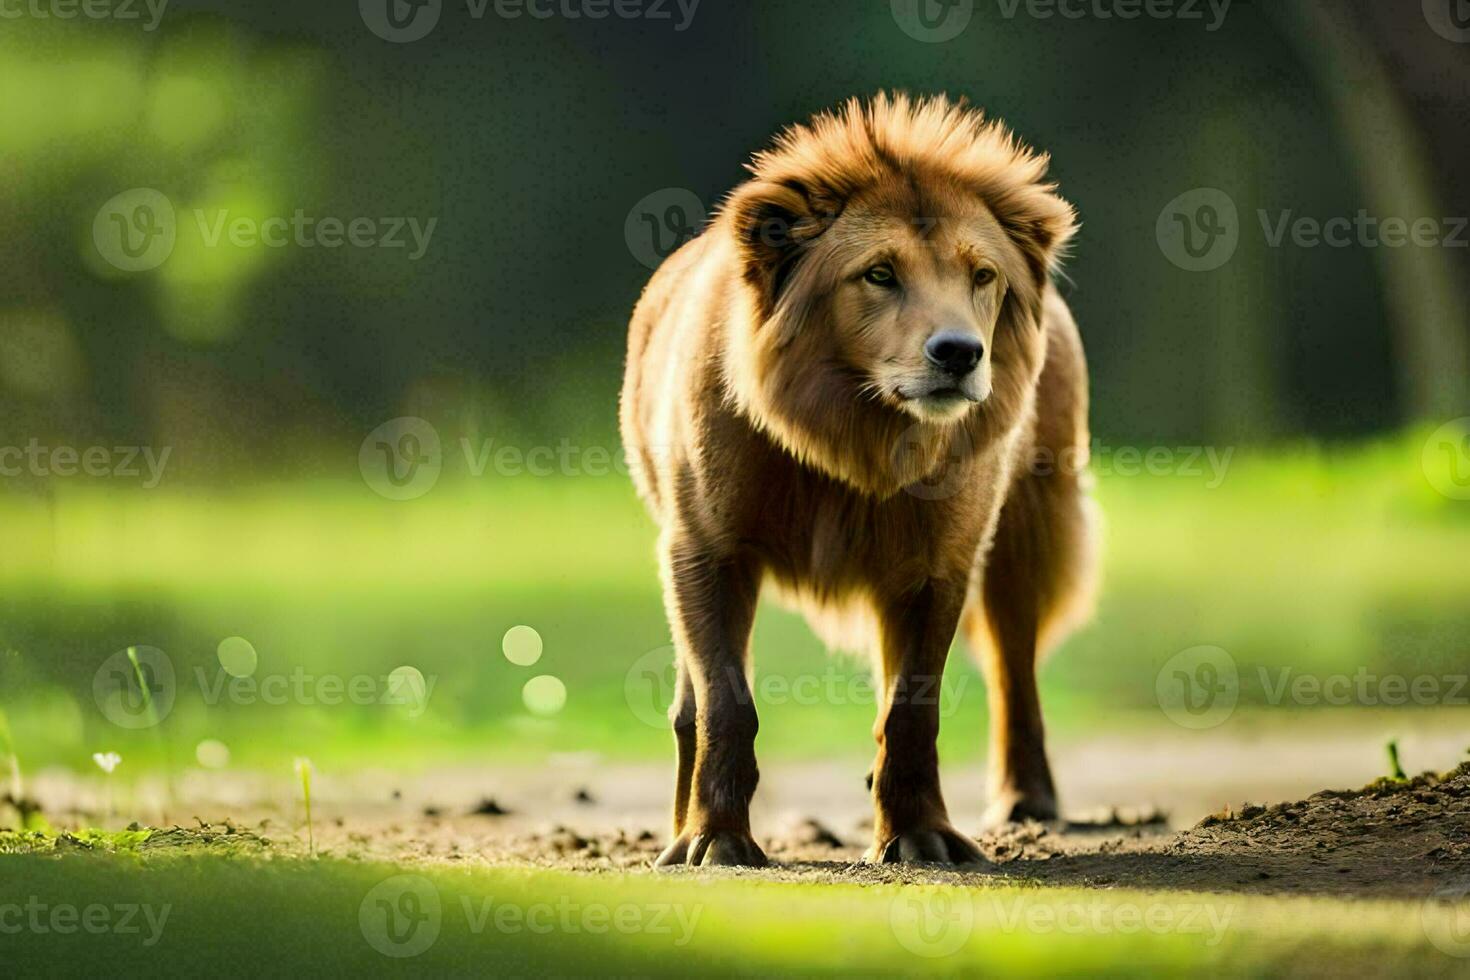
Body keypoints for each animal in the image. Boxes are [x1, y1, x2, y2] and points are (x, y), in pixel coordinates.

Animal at [617, 94, 1093, 863]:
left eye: (981, 275)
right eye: (879, 273)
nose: (960, 353)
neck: (857, 434)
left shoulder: (937, 565)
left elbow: (912, 709)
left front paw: (922, 836)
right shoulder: (707, 549)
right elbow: (725, 704)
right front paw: (715, 840)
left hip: (1026, 528)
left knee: (1013, 668)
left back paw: (1026, 803)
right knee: (689, 705)